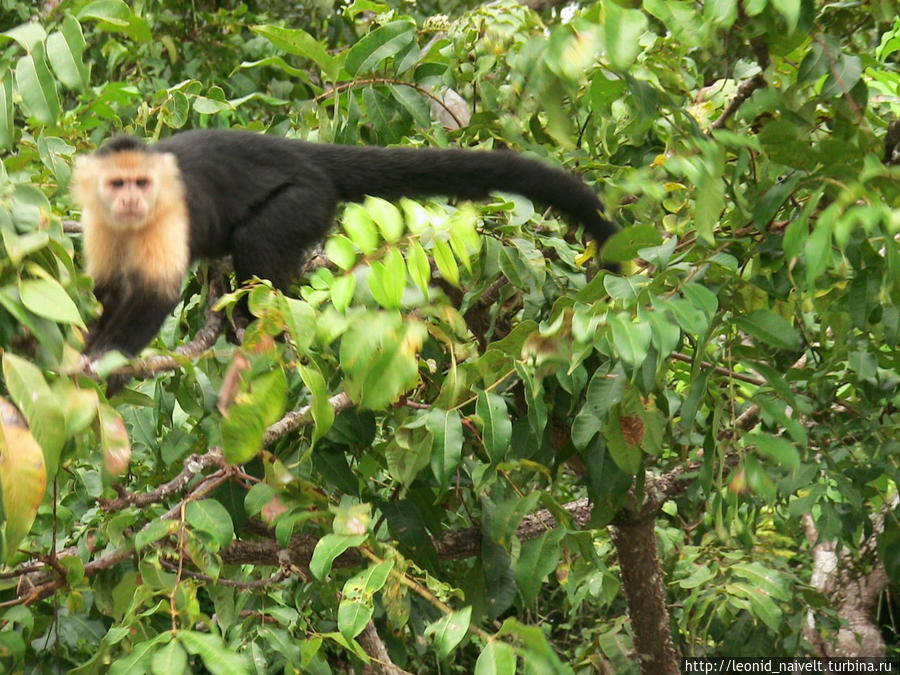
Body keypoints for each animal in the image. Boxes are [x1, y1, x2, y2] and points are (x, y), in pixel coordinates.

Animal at [74, 131, 616, 364]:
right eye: (117, 183)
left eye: (143, 184)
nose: (131, 199)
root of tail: (299, 152)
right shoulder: (98, 221)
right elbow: (107, 294)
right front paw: (82, 351)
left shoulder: (168, 213)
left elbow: (154, 297)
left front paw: (106, 367)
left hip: (304, 198)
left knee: (260, 241)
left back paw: (257, 322)